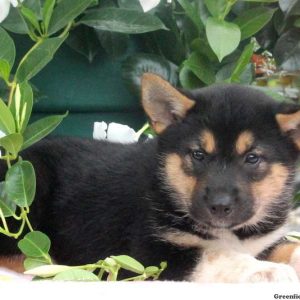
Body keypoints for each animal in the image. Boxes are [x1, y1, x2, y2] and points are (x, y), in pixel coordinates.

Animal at [0, 74, 300, 282]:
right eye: (198, 154)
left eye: (252, 158)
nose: (220, 206)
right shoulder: (152, 252)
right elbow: (216, 255)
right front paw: (267, 271)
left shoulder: (267, 241)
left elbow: (288, 247)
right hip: (29, 193)